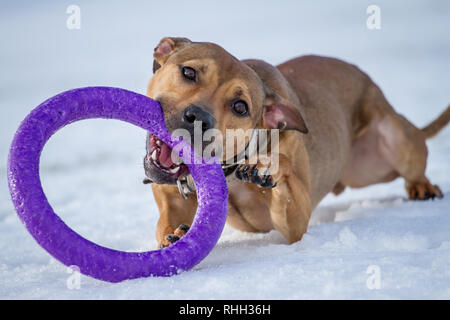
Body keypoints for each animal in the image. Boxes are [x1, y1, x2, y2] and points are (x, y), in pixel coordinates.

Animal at [144, 37, 450, 248]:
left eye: (240, 107)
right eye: (189, 72)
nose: (198, 117)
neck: (229, 170)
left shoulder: (297, 219)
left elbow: (286, 181)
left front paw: (267, 166)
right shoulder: (172, 200)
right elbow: (165, 223)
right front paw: (174, 235)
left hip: (394, 139)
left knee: (413, 166)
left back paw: (423, 187)